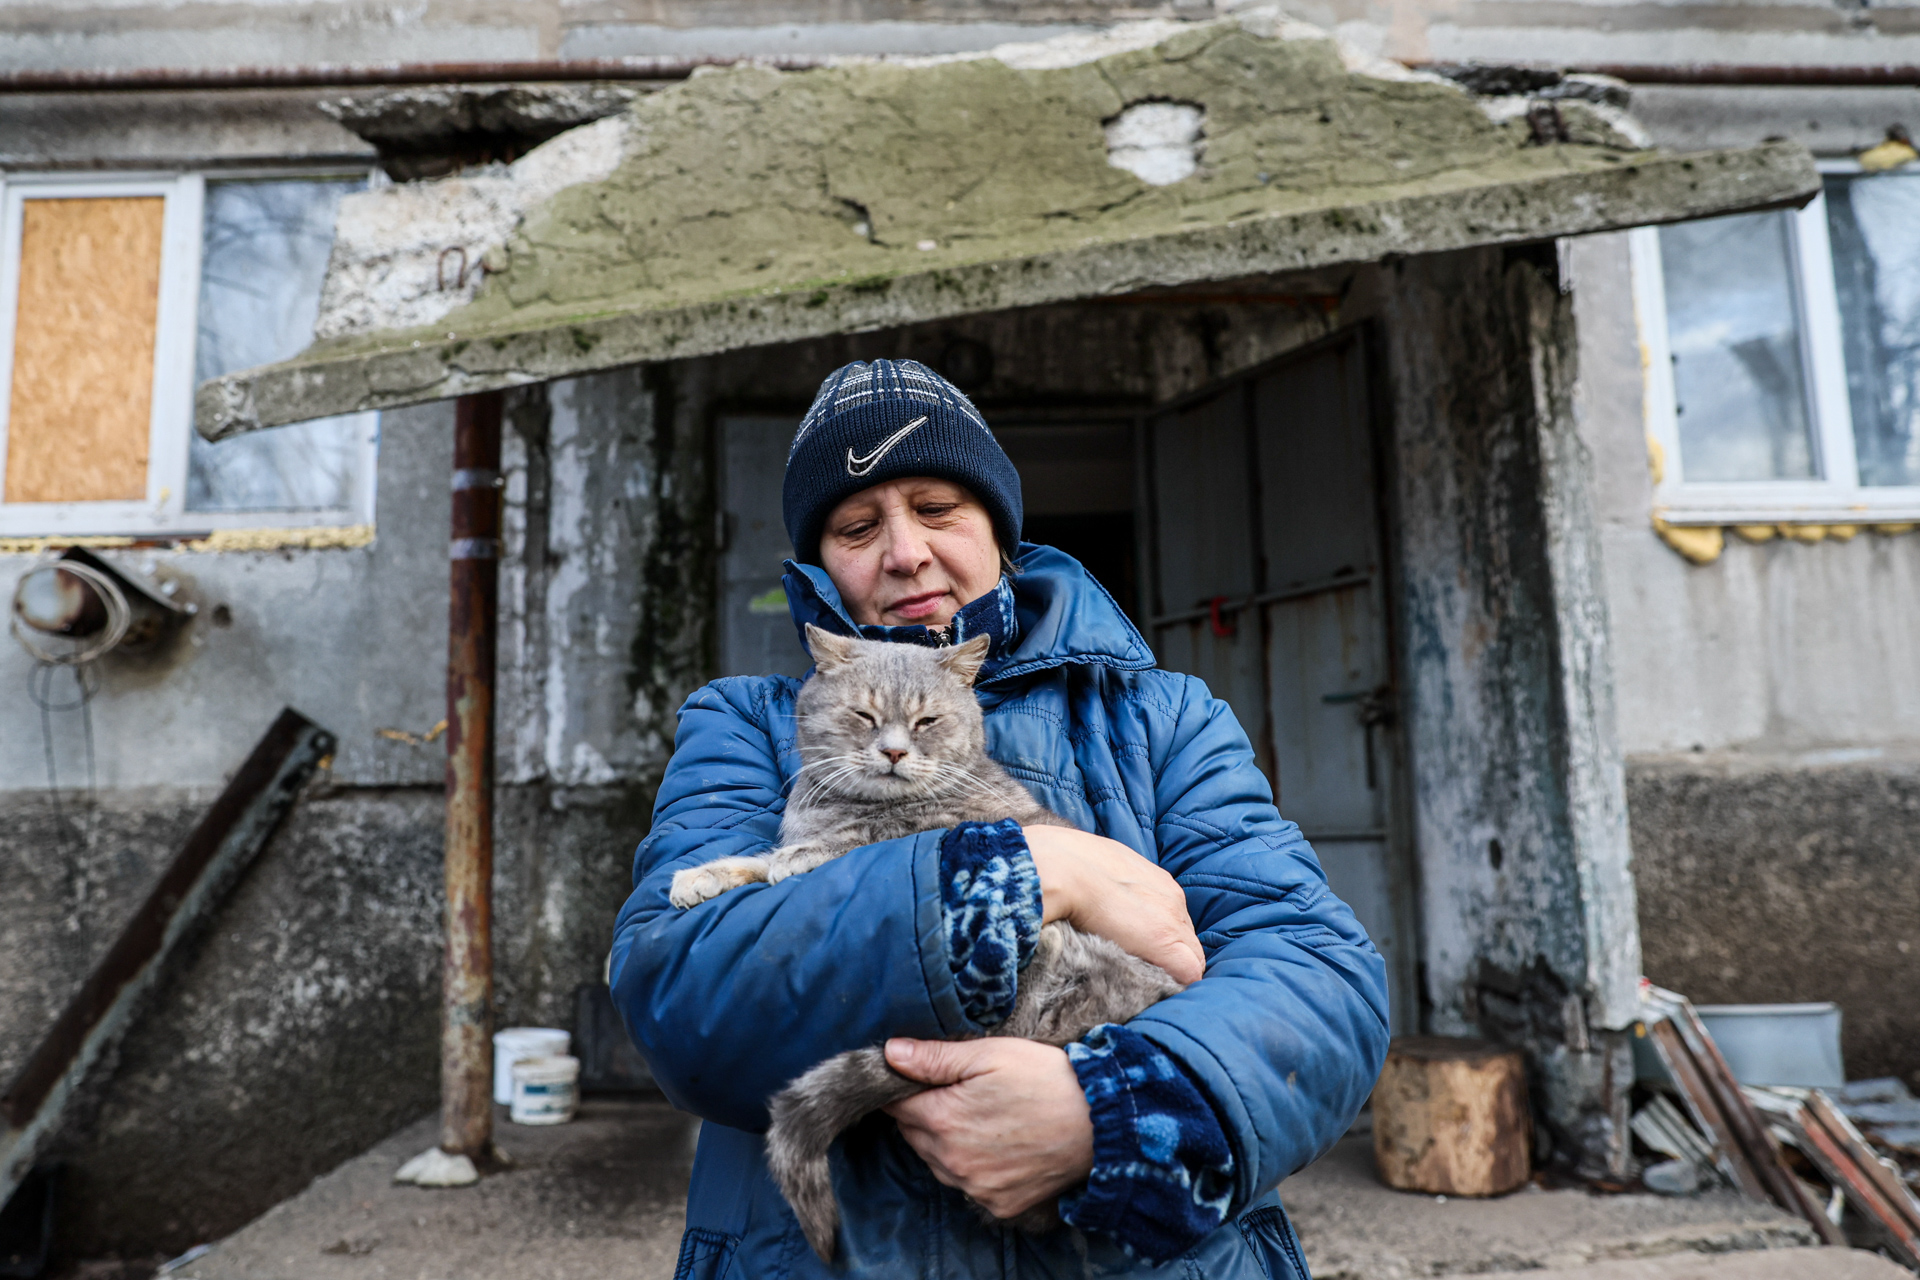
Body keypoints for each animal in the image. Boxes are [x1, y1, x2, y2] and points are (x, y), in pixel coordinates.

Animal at [672, 625, 1182, 1266]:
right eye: (864, 716)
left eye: (926, 722)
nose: (893, 752)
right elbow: (760, 861)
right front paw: (703, 875)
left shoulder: (943, 833)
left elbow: (850, 845)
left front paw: (801, 855)